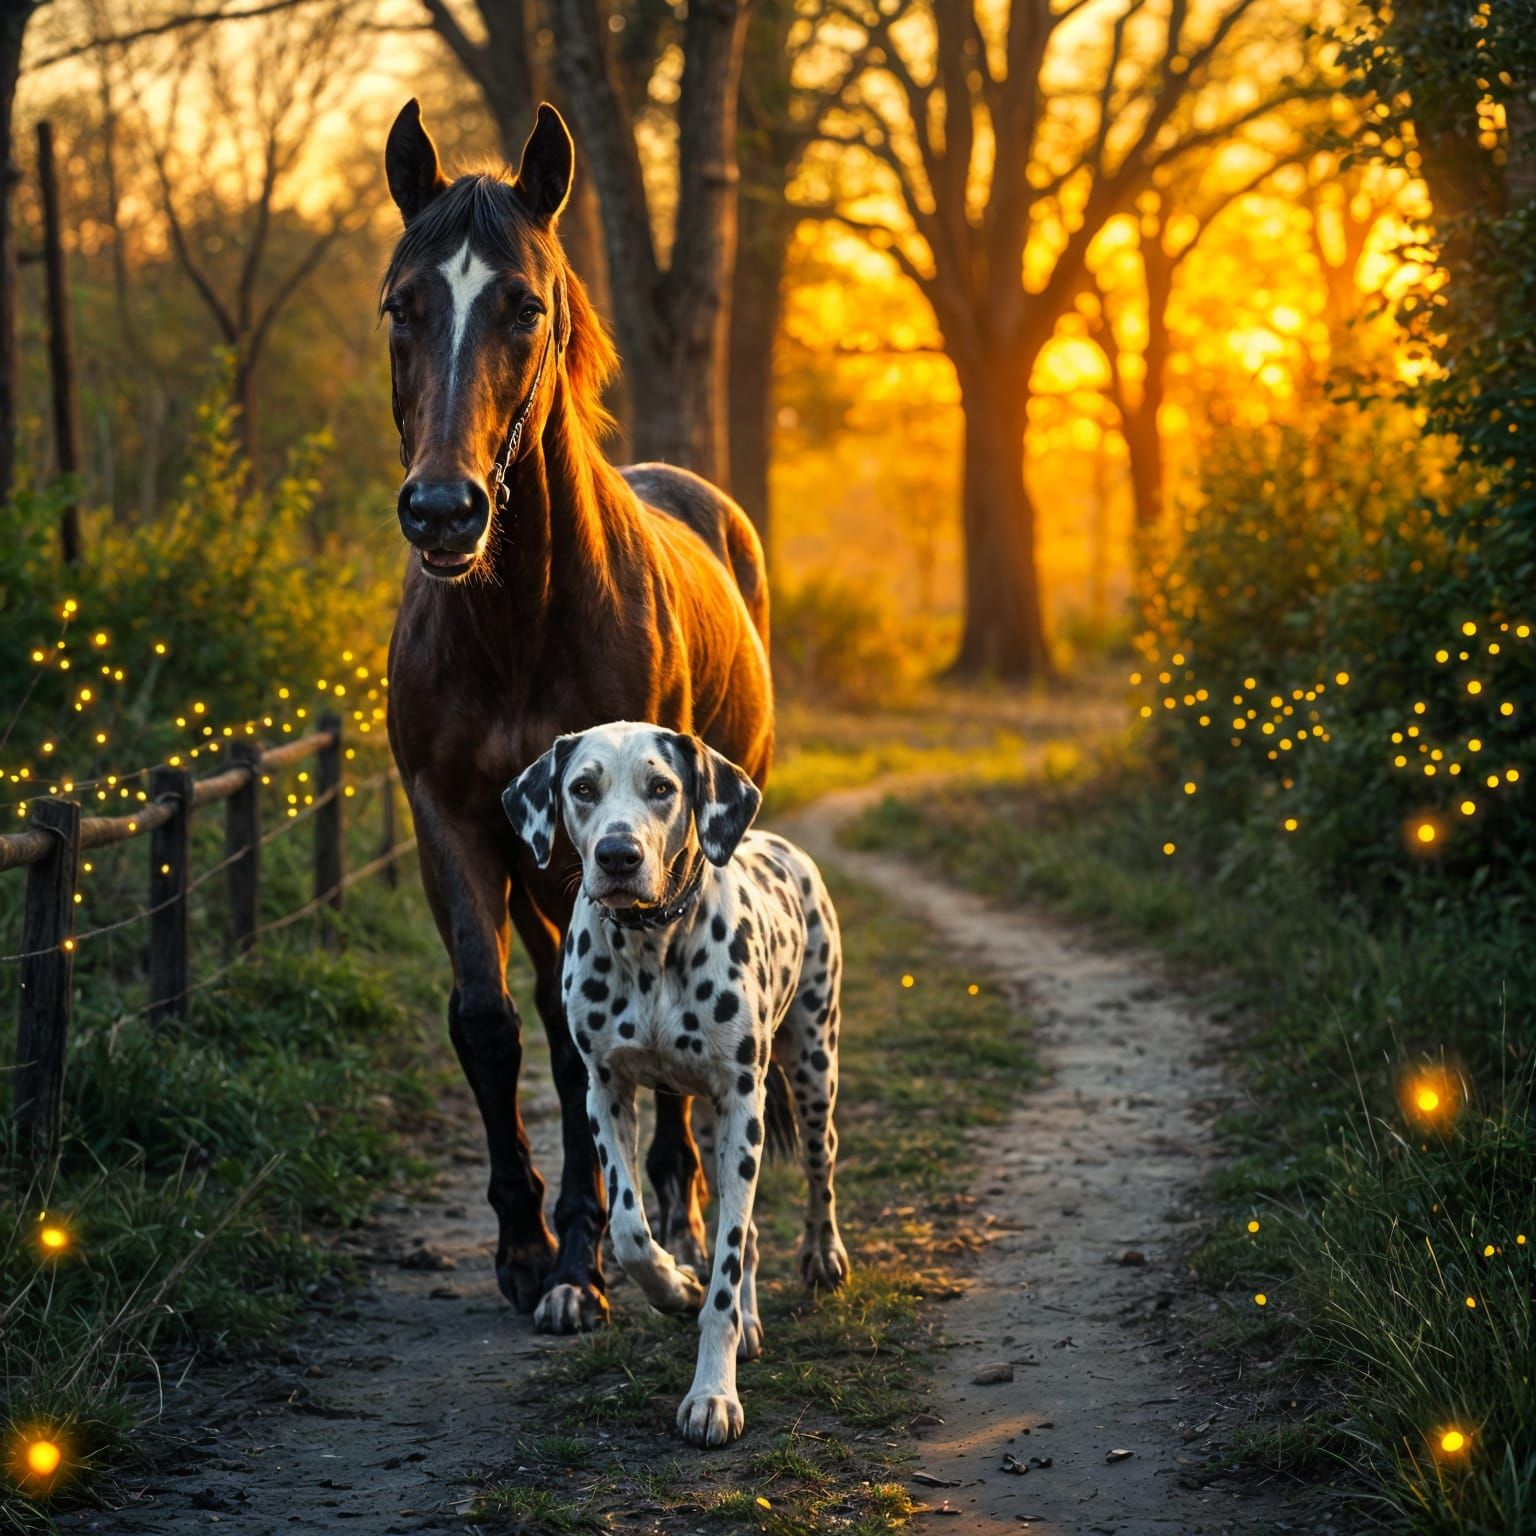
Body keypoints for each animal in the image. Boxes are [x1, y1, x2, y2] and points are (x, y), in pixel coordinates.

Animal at [380, 99, 774, 1333]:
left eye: (527, 306)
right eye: (401, 304)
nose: (444, 511)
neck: (515, 622)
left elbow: (576, 1046)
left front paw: (582, 1256)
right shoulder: (451, 821)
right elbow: (491, 1024)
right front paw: (524, 1244)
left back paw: (680, 1204)